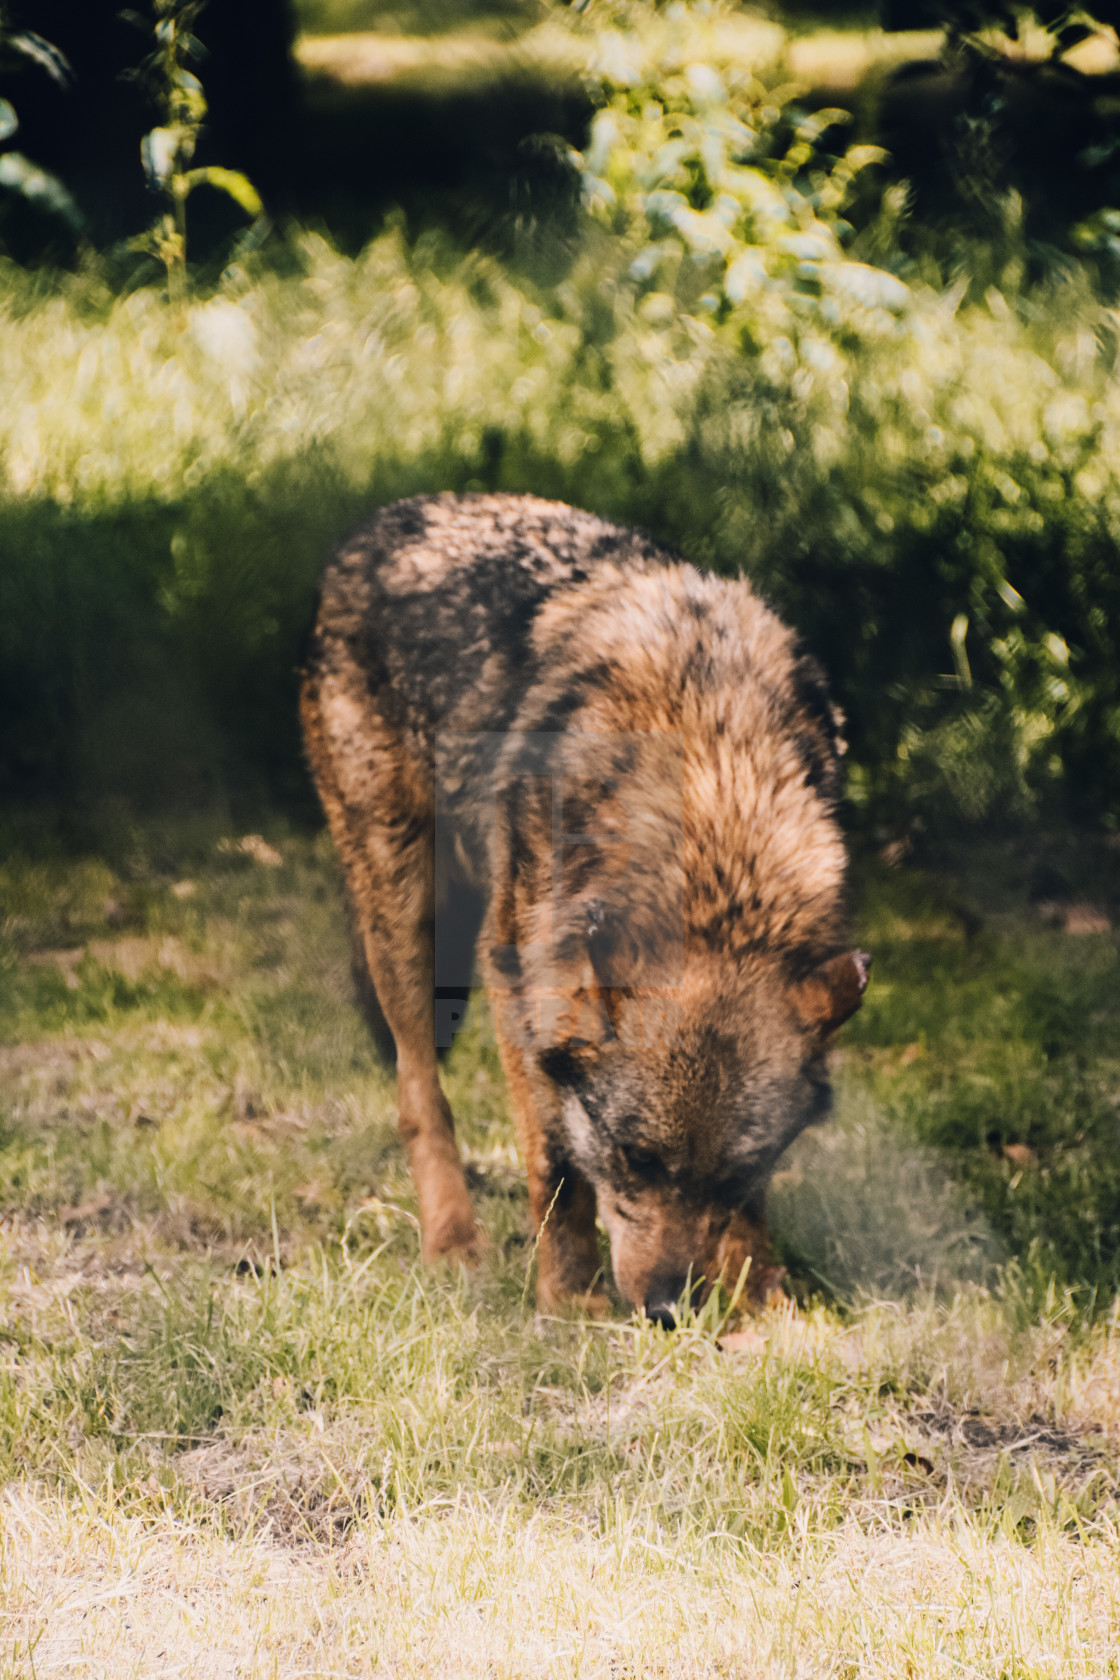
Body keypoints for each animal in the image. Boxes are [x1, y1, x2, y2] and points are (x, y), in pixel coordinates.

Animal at [302, 490, 873, 1317]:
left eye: (729, 1174)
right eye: (635, 1157)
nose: (667, 1309)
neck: (713, 781)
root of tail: (388, 519)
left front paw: (757, 1290)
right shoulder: (521, 980)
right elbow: (558, 1165)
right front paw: (569, 1298)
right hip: (408, 921)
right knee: (418, 1094)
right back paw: (453, 1242)